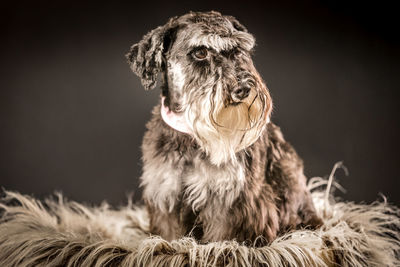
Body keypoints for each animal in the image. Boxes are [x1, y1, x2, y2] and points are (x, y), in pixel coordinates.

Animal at [127, 11, 322, 245]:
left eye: (239, 49)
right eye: (200, 52)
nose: (243, 89)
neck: (191, 137)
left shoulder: (231, 201)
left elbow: (224, 238)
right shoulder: (166, 194)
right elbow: (169, 235)